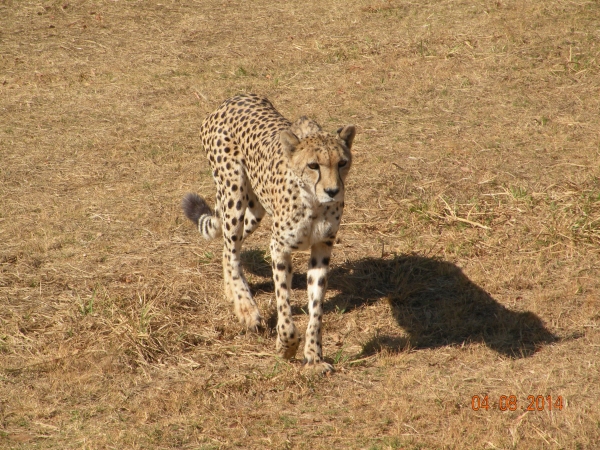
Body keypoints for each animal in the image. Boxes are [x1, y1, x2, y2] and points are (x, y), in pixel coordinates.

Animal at [180, 94, 354, 372]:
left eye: (342, 163)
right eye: (313, 165)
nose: (333, 191)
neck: (314, 204)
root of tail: (232, 98)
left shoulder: (322, 248)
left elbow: (316, 309)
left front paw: (314, 357)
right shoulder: (279, 248)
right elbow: (283, 302)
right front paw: (286, 346)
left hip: (255, 209)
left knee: (228, 248)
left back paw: (231, 293)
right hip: (234, 195)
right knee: (231, 250)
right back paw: (246, 308)